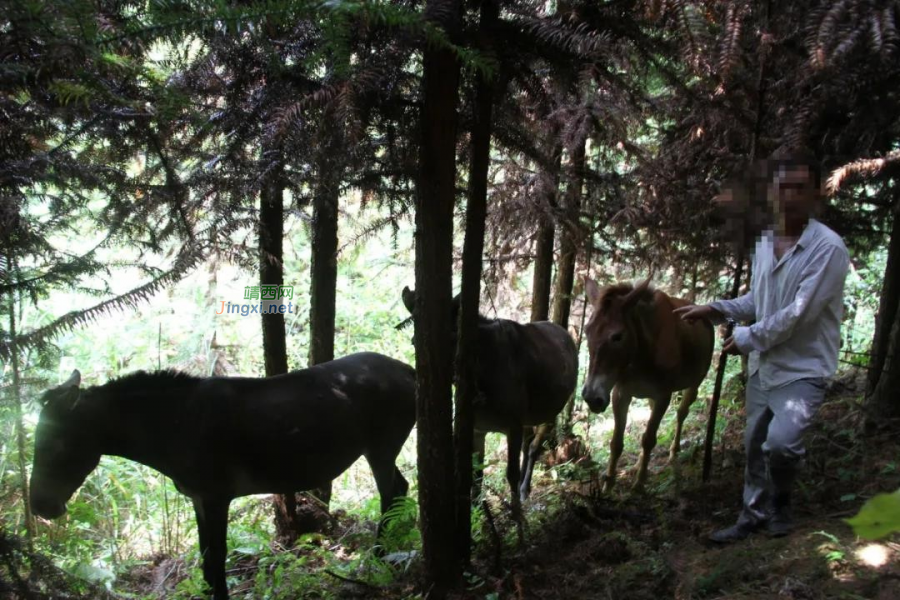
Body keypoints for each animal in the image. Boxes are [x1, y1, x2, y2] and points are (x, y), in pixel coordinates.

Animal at [29, 352, 416, 600]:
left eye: (57, 444)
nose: (40, 506)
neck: (167, 431)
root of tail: (410, 370)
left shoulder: (216, 494)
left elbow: (216, 557)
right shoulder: (199, 497)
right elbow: (205, 557)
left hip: (381, 446)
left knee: (392, 492)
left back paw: (379, 556)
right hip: (381, 448)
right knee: (401, 488)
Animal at [400, 286, 576, 506]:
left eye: (454, 338)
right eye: (414, 342)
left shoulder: (513, 425)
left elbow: (510, 474)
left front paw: (517, 513)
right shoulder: (478, 429)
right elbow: (476, 478)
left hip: (552, 409)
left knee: (535, 446)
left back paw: (524, 489)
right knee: (528, 444)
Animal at [580, 278, 712, 490]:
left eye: (617, 336)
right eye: (587, 331)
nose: (592, 398)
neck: (641, 353)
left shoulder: (664, 395)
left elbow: (649, 439)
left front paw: (640, 483)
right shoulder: (621, 393)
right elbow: (616, 443)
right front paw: (609, 483)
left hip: (696, 381)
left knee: (682, 412)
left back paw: (673, 451)